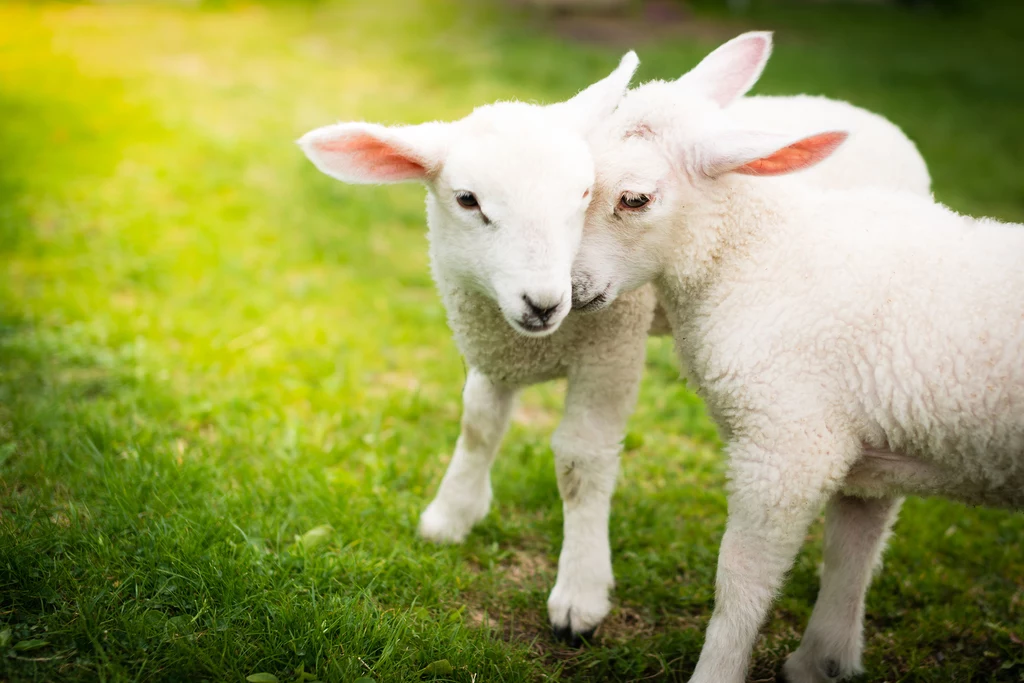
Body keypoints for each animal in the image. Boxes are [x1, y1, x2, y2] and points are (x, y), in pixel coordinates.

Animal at [292, 36, 933, 647]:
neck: (534, 339)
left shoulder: (611, 352)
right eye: (467, 200)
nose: (545, 302)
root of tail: (859, 111)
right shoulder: (493, 347)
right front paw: (452, 515)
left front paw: (579, 594)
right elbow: (478, 424)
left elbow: (581, 459)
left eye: (583, 193)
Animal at [573, 33, 1019, 683]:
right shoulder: (873, 449)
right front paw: (822, 661)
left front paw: (717, 671)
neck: (755, 257)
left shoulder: (788, 447)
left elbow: (741, 582)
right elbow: (852, 553)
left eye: (634, 199)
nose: (564, 290)